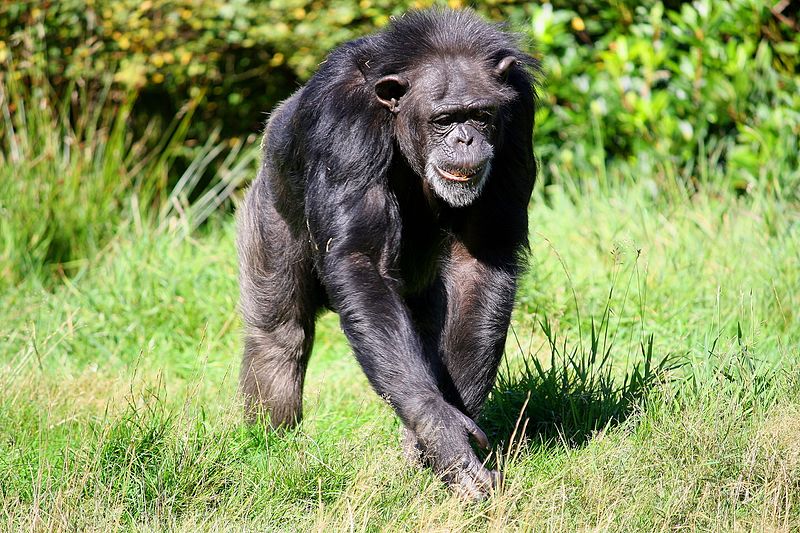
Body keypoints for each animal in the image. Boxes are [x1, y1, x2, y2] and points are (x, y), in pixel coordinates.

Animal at [238, 7, 536, 498]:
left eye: (481, 115)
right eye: (444, 119)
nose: (466, 140)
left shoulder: (519, 112)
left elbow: (479, 261)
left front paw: (436, 443)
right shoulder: (345, 119)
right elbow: (361, 259)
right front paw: (440, 430)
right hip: (266, 211)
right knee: (279, 335)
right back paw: (272, 445)